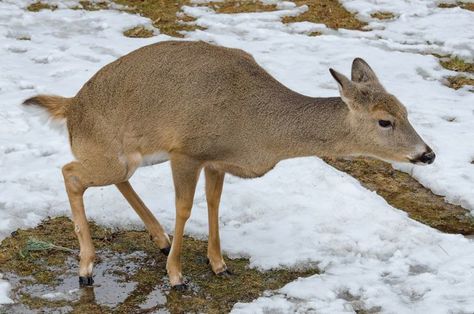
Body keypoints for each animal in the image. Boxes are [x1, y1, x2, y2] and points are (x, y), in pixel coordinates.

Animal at [24, 40, 436, 290]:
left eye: (406, 109)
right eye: (384, 121)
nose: (427, 154)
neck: (256, 129)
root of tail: (72, 108)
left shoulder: (216, 161)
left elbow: (214, 204)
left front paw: (219, 263)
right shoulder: (187, 151)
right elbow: (184, 208)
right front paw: (176, 276)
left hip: (125, 158)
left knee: (112, 179)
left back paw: (158, 238)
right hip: (109, 152)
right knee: (70, 173)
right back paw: (86, 268)